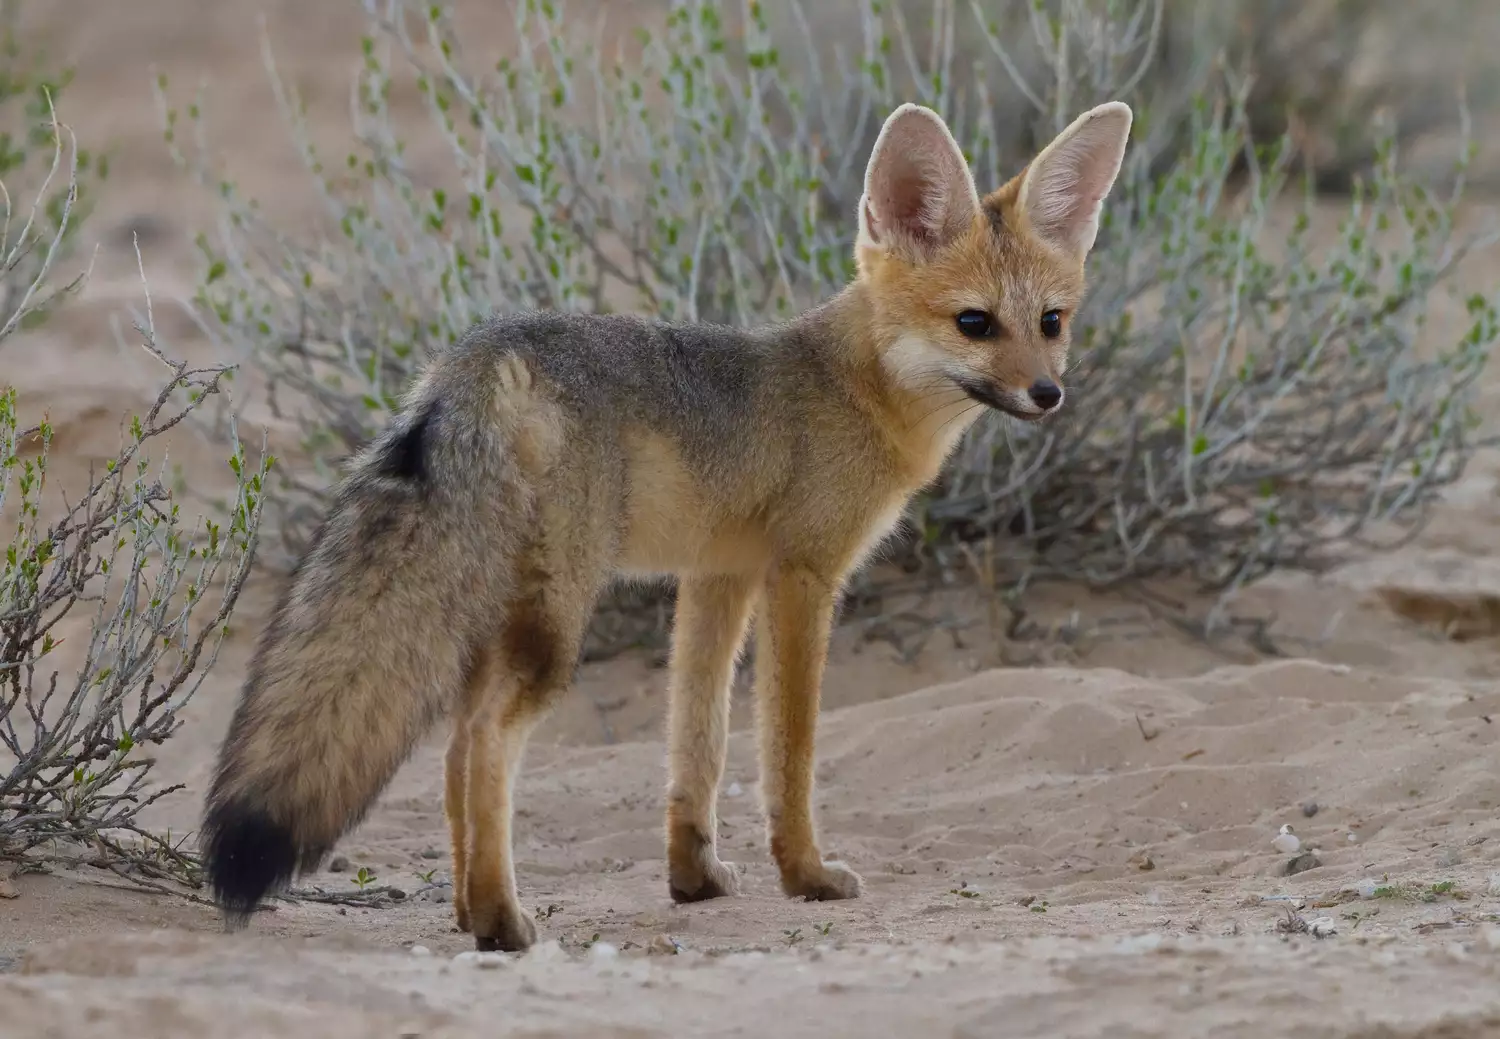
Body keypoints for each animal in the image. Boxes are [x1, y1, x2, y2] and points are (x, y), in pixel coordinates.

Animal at [202, 97, 1134, 947]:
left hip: (505, 612)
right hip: (558, 626)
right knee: (487, 739)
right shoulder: (804, 576)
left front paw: (694, 875)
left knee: (459, 745)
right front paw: (805, 871)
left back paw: (467, 906)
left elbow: (700, 737)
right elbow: (788, 750)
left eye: (1051, 322)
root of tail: (480, 354)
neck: (851, 387)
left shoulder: (717, 576)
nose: (1047, 393)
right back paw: (501, 919)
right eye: (975, 323)